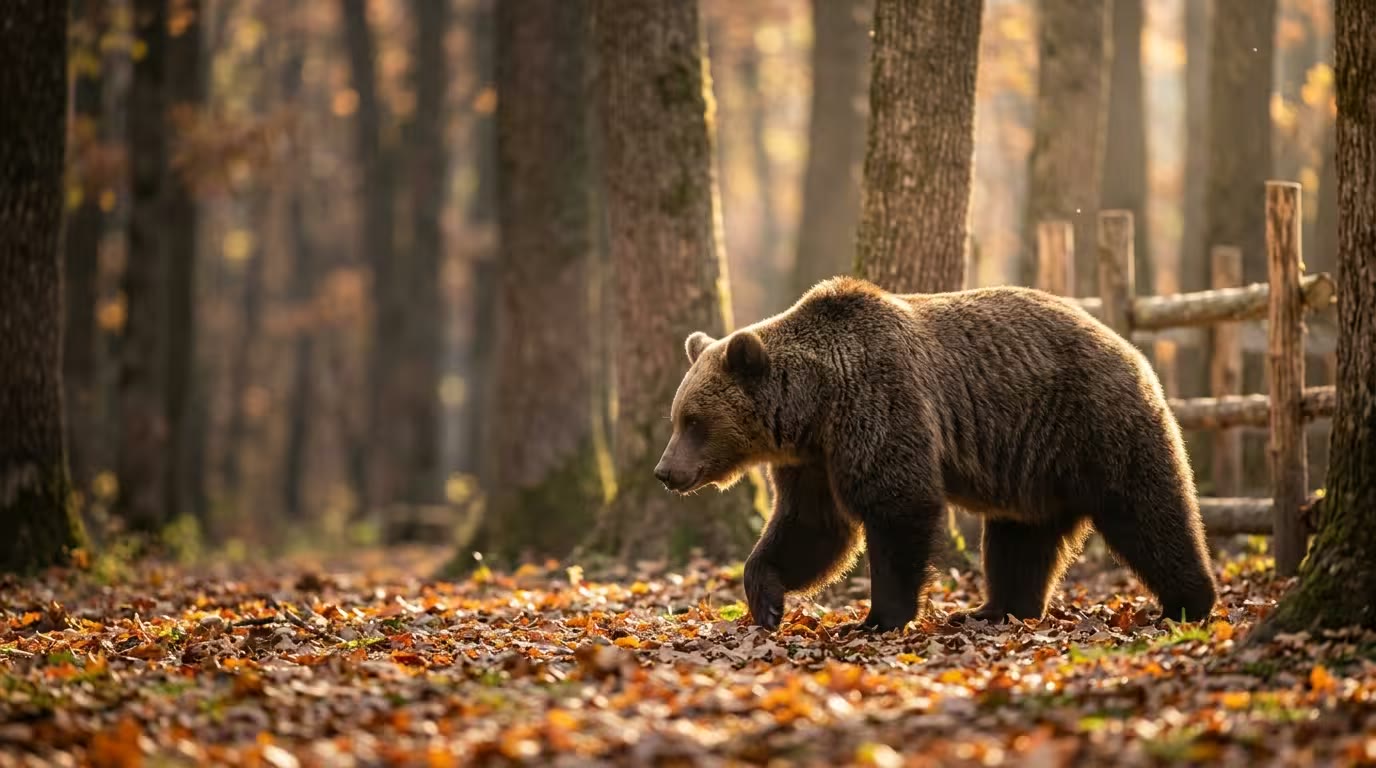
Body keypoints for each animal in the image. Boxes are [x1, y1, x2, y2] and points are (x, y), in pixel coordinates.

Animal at [652, 276, 1218, 632]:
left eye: (694, 421)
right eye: (677, 417)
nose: (665, 471)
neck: (817, 406)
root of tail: (1129, 346)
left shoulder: (879, 405)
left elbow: (897, 506)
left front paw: (877, 619)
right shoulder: (813, 459)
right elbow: (812, 529)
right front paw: (766, 601)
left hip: (1095, 424)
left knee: (1147, 510)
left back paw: (1188, 604)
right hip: (1032, 463)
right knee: (1019, 538)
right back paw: (997, 610)